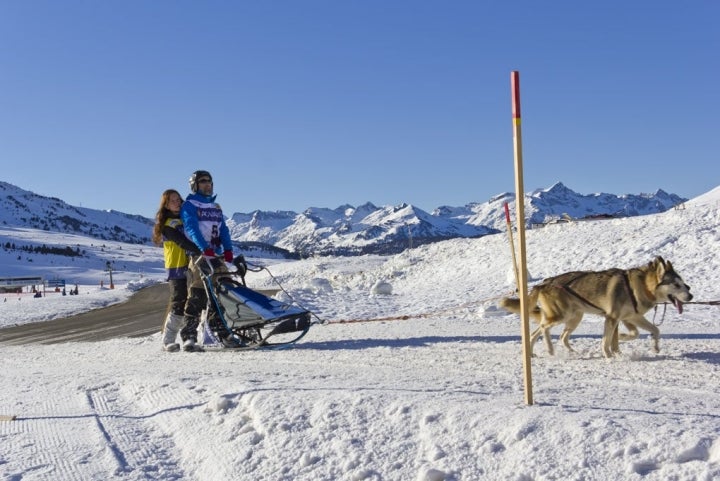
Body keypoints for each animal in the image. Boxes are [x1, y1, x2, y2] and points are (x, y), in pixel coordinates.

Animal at [500, 255, 692, 356]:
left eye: (684, 283)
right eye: (676, 285)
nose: (691, 295)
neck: (639, 285)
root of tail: (544, 283)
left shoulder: (630, 318)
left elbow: (650, 331)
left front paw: (652, 346)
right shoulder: (612, 318)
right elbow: (606, 341)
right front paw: (609, 355)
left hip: (574, 318)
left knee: (553, 334)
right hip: (561, 315)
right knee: (542, 328)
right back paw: (548, 347)